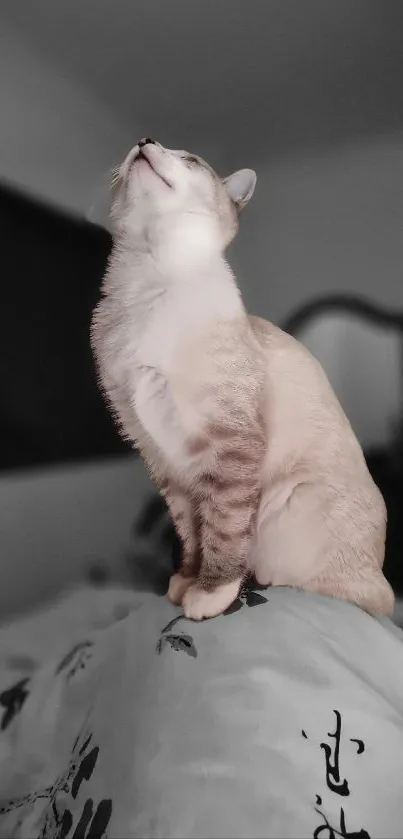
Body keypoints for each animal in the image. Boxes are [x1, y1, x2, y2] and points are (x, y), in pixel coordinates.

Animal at [90, 138, 394, 620]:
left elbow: (223, 531)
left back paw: (261, 581)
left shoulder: (227, 449)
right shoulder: (166, 461)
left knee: (348, 595)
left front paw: (209, 595)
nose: (144, 141)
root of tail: (381, 577)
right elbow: (191, 536)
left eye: (189, 159)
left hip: (290, 506)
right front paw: (184, 583)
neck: (149, 284)